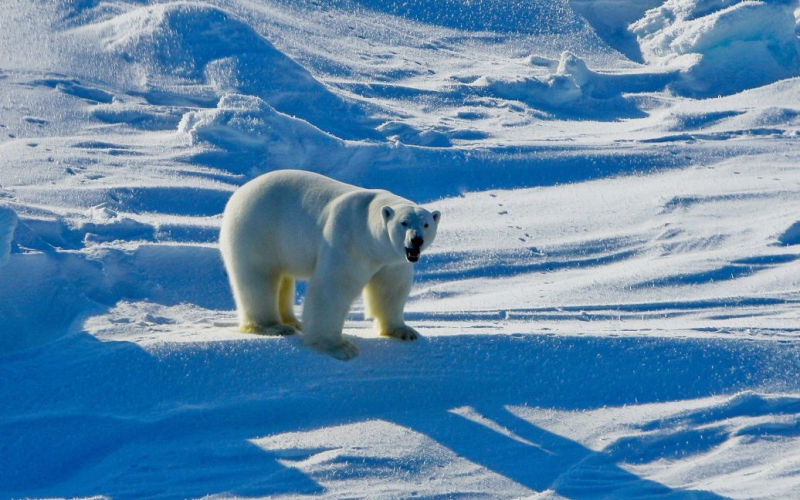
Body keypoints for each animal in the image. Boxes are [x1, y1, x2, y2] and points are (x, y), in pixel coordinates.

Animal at [219, 170, 440, 362]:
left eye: (426, 224)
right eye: (404, 222)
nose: (416, 240)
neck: (368, 232)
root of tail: (239, 193)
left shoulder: (393, 260)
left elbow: (390, 289)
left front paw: (404, 332)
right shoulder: (348, 243)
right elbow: (332, 289)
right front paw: (340, 347)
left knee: (283, 279)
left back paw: (294, 322)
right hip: (257, 230)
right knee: (259, 278)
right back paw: (274, 327)